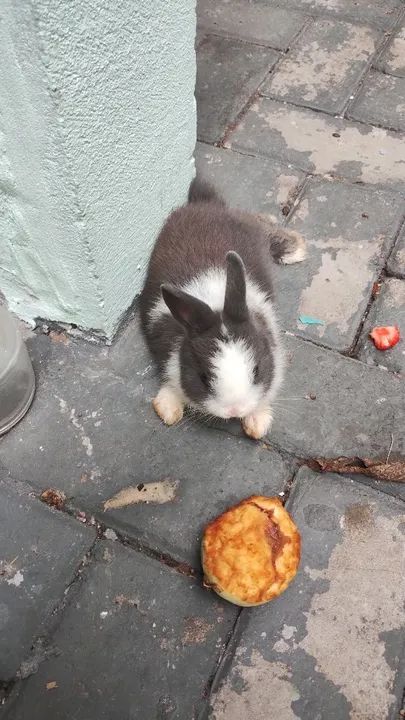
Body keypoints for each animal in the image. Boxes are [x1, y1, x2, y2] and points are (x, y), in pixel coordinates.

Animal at [139, 178, 306, 440]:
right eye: (204, 377)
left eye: (257, 370)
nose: (234, 410)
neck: (215, 303)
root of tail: (206, 204)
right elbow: (169, 377)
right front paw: (168, 409)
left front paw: (257, 422)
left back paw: (294, 248)